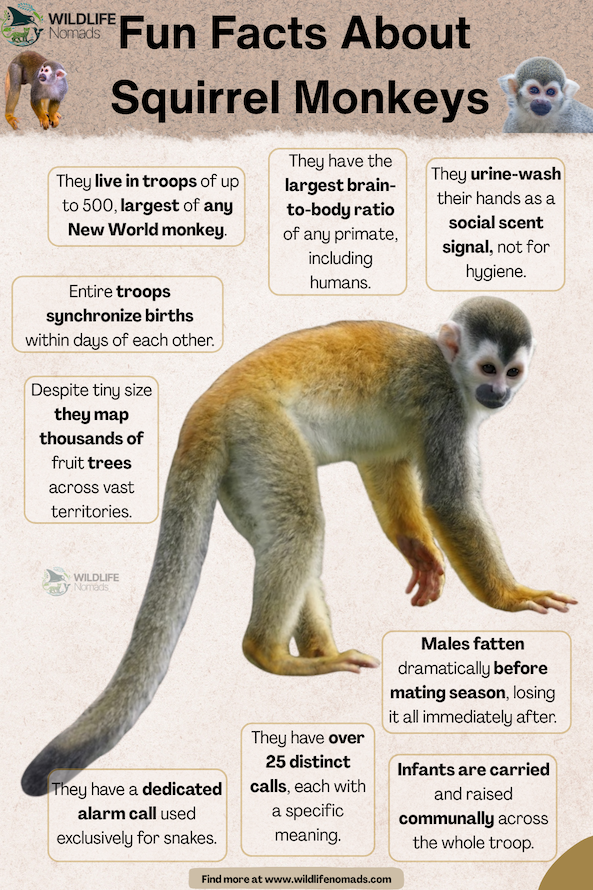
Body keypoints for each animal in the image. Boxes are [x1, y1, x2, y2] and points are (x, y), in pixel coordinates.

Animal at [21, 297, 576, 796]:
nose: (498, 393)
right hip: (259, 428)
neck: (453, 370)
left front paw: (419, 552)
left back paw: (317, 650)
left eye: (513, 372)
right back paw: (270, 654)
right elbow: (449, 503)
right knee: (301, 525)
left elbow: (383, 464)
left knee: (278, 534)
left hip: (240, 468)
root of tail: (207, 404)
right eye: (488, 368)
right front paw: (512, 596)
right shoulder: (445, 406)